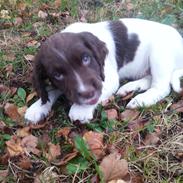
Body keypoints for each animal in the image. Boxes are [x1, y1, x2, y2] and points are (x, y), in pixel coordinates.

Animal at [24, 18, 183, 124]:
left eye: (86, 59)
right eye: (57, 75)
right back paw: (129, 88)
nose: (87, 93)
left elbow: (100, 89)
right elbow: (50, 90)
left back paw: (141, 100)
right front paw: (37, 107)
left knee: (162, 87)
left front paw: (80, 110)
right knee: (150, 79)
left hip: (159, 53)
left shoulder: (109, 77)